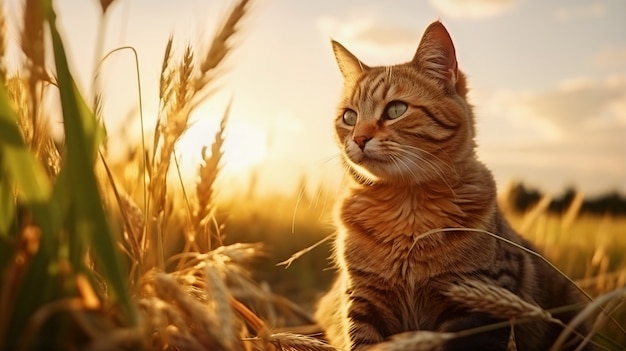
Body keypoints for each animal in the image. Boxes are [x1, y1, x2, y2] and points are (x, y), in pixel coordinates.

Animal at [314, 20, 588, 350]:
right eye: (349, 117)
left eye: (395, 110)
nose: (359, 139)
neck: (406, 209)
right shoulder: (363, 300)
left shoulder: (474, 307)